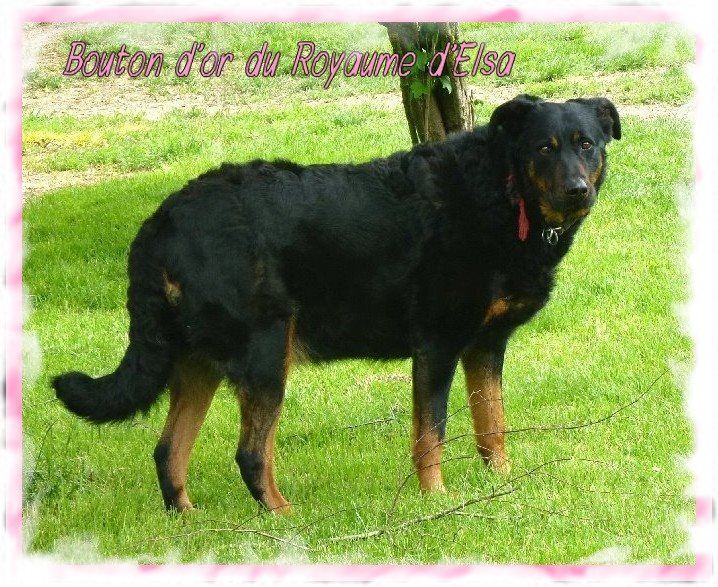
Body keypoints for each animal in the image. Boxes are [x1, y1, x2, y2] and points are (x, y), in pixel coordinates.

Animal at [53, 95, 620, 514]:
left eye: (586, 145)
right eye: (544, 148)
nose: (577, 190)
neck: (505, 192)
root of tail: (161, 222)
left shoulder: (485, 346)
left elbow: (492, 423)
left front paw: (501, 482)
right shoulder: (436, 347)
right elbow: (431, 433)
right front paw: (436, 499)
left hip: (200, 362)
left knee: (168, 453)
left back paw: (191, 522)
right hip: (266, 354)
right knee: (250, 454)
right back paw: (283, 516)